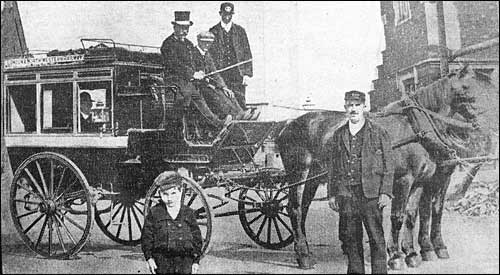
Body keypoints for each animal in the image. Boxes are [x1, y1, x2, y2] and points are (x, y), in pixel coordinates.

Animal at [276, 66, 498, 270]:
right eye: (467, 88)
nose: (487, 125)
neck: (415, 127)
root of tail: (287, 125)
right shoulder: (404, 180)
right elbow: (399, 217)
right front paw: (397, 256)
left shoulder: (423, 180)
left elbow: (414, 215)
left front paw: (413, 253)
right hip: (298, 172)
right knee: (294, 209)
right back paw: (304, 256)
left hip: (314, 176)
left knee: (304, 208)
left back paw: (305, 250)